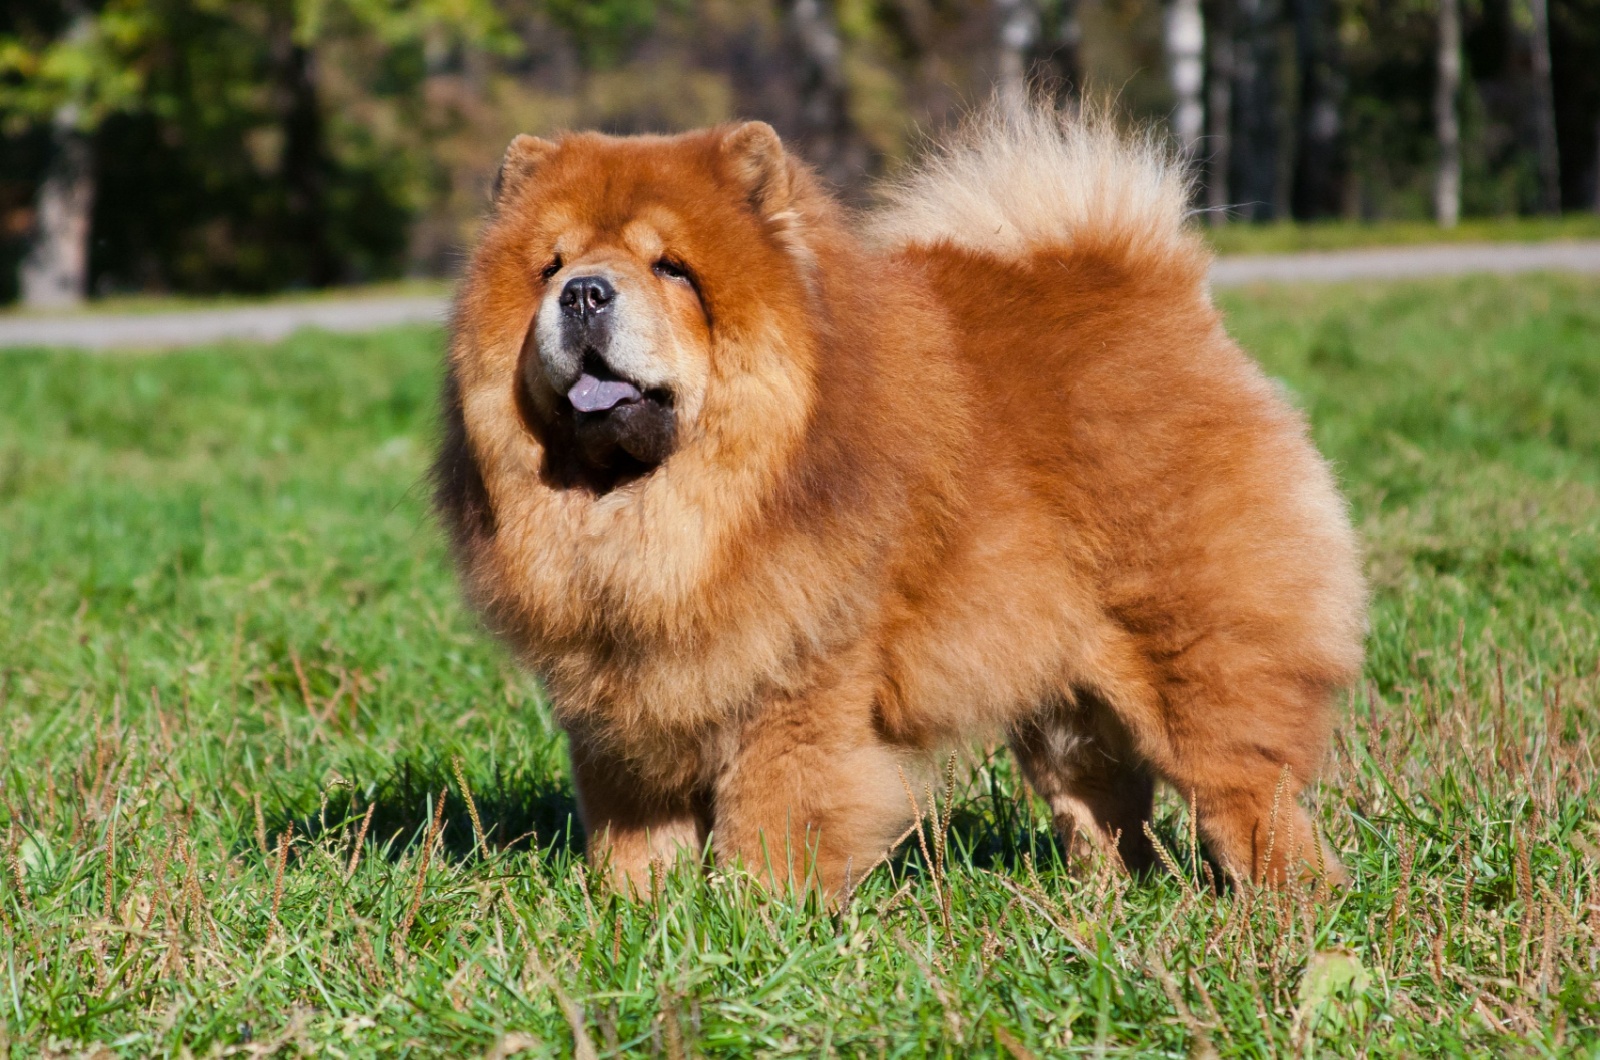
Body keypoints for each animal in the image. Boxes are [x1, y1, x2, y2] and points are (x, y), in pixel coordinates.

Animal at [435, 105, 1363, 896]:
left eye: (672, 269)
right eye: (551, 267)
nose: (585, 291)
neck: (662, 512)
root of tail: (1147, 288)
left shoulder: (798, 682)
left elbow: (773, 812)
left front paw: (755, 914)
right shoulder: (621, 699)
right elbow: (632, 822)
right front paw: (635, 907)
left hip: (1193, 651)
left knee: (1245, 788)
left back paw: (1283, 906)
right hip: (1060, 693)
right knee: (1102, 805)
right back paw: (1103, 904)